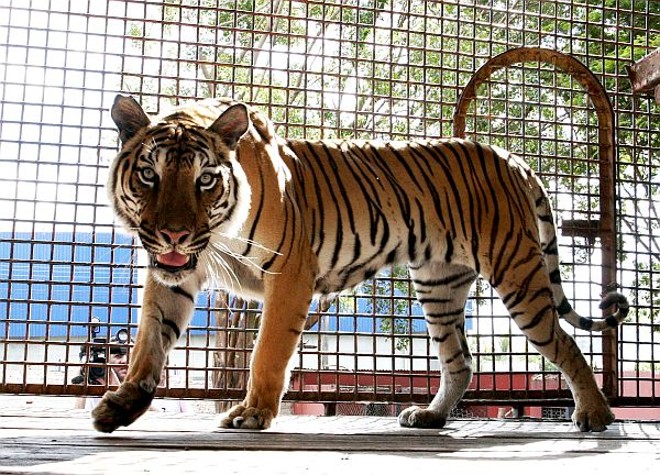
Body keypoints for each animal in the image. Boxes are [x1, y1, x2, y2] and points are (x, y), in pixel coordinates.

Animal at [92, 95, 629, 434]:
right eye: (149, 174)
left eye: (205, 180)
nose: (174, 234)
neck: (212, 238)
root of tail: (510, 156)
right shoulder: (172, 276)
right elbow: (148, 342)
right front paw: (120, 405)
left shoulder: (289, 275)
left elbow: (267, 353)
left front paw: (253, 414)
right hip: (439, 286)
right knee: (460, 361)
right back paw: (430, 417)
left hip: (517, 274)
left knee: (565, 343)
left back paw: (596, 415)